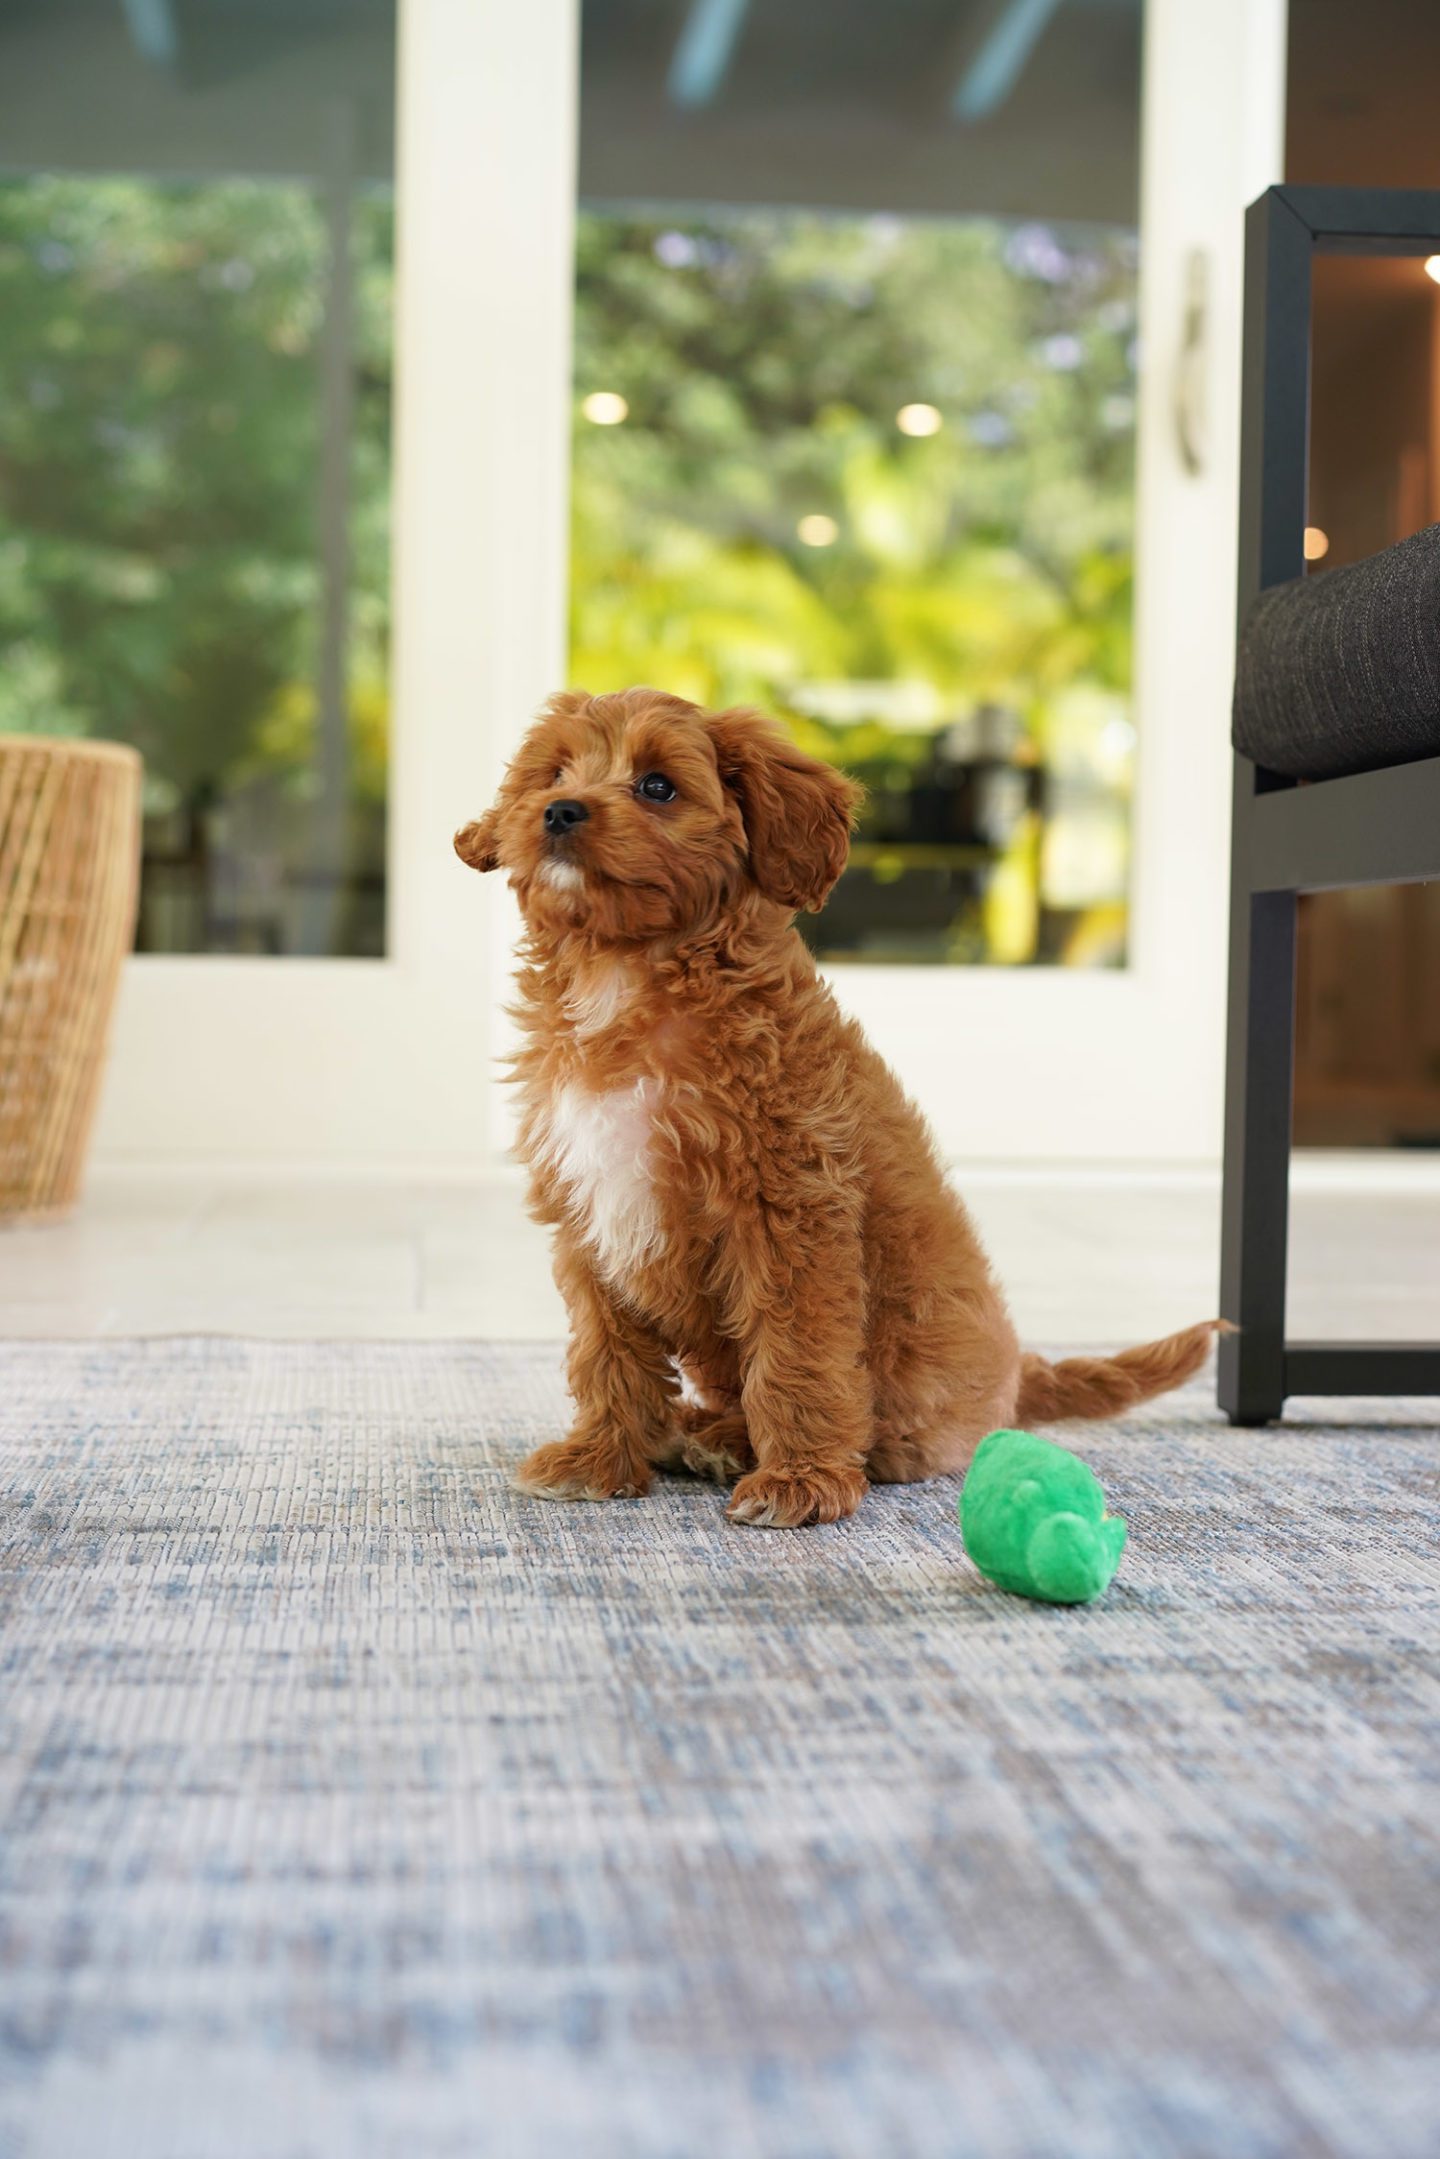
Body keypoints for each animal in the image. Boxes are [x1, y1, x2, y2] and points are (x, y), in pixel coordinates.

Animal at [459, 690, 1217, 1537]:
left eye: (657, 786)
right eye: (554, 773)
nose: (559, 810)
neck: (623, 975)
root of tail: (1018, 1377)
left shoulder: (788, 1207)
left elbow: (797, 1351)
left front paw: (800, 1479)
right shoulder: (589, 1209)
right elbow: (606, 1352)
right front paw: (598, 1458)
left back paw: (739, 1443)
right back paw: (698, 1430)